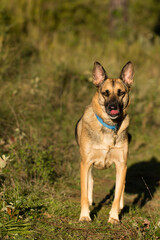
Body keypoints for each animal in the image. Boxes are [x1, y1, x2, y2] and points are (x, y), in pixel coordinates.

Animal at [75, 61, 134, 224]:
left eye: (121, 93)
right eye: (105, 93)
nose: (113, 108)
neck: (109, 126)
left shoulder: (121, 165)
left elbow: (117, 194)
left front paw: (114, 217)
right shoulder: (85, 163)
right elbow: (84, 192)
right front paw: (85, 216)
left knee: (122, 186)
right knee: (90, 181)